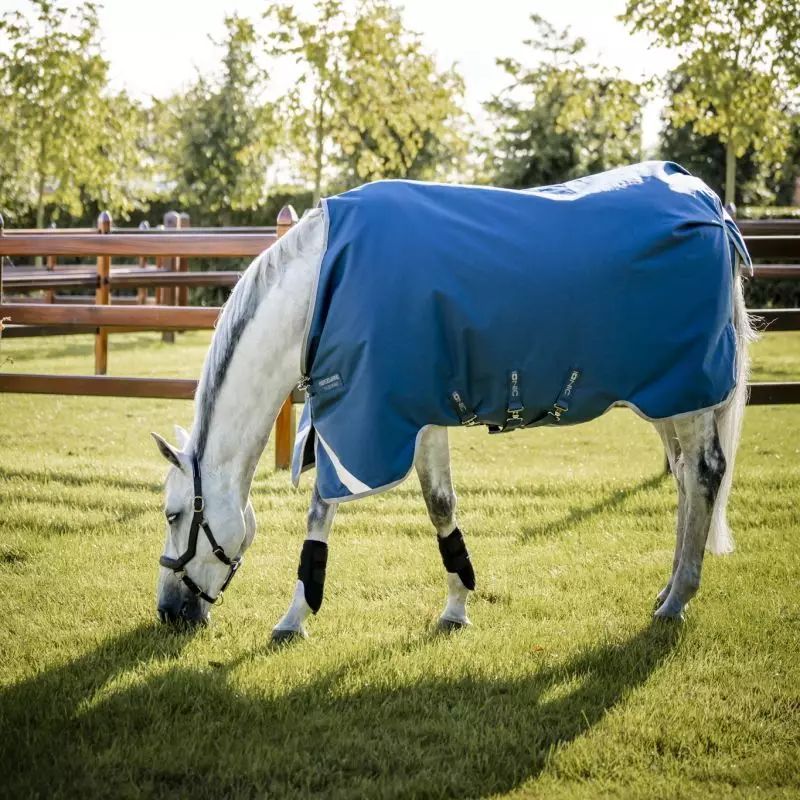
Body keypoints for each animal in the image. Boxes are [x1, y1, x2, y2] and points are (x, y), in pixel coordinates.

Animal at [152, 162, 755, 636]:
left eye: (173, 513)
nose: (168, 612)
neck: (321, 285)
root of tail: (708, 204)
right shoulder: (419, 415)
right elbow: (441, 505)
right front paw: (457, 607)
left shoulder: (365, 422)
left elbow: (323, 508)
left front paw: (294, 616)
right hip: (667, 398)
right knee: (684, 479)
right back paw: (668, 589)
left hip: (690, 394)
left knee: (704, 474)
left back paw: (677, 601)